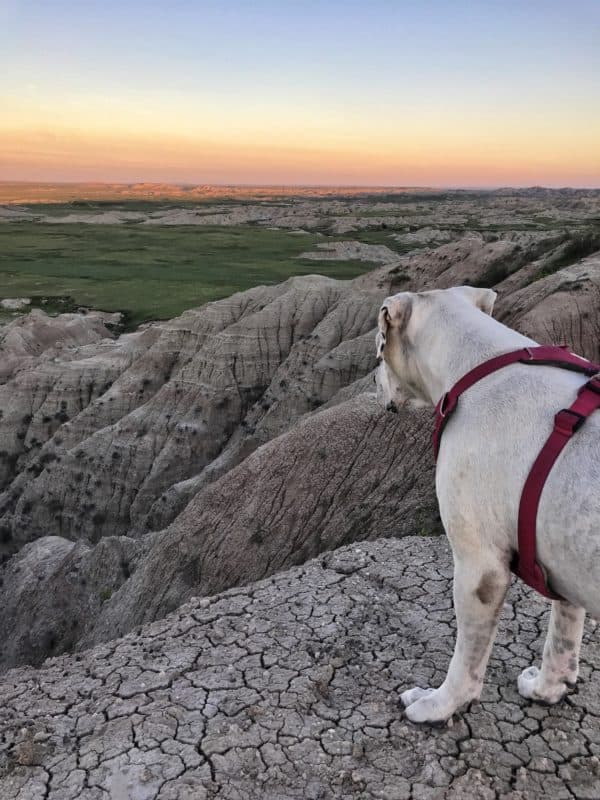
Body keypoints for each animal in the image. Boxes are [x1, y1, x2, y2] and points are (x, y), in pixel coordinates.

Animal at [378, 288, 596, 724]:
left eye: (378, 349)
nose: (375, 378)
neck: (481, 363)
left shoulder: (481, 569)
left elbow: (467, 660)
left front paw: (439, 704)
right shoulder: (562, 560)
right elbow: (562, 636)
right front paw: (547, 688)